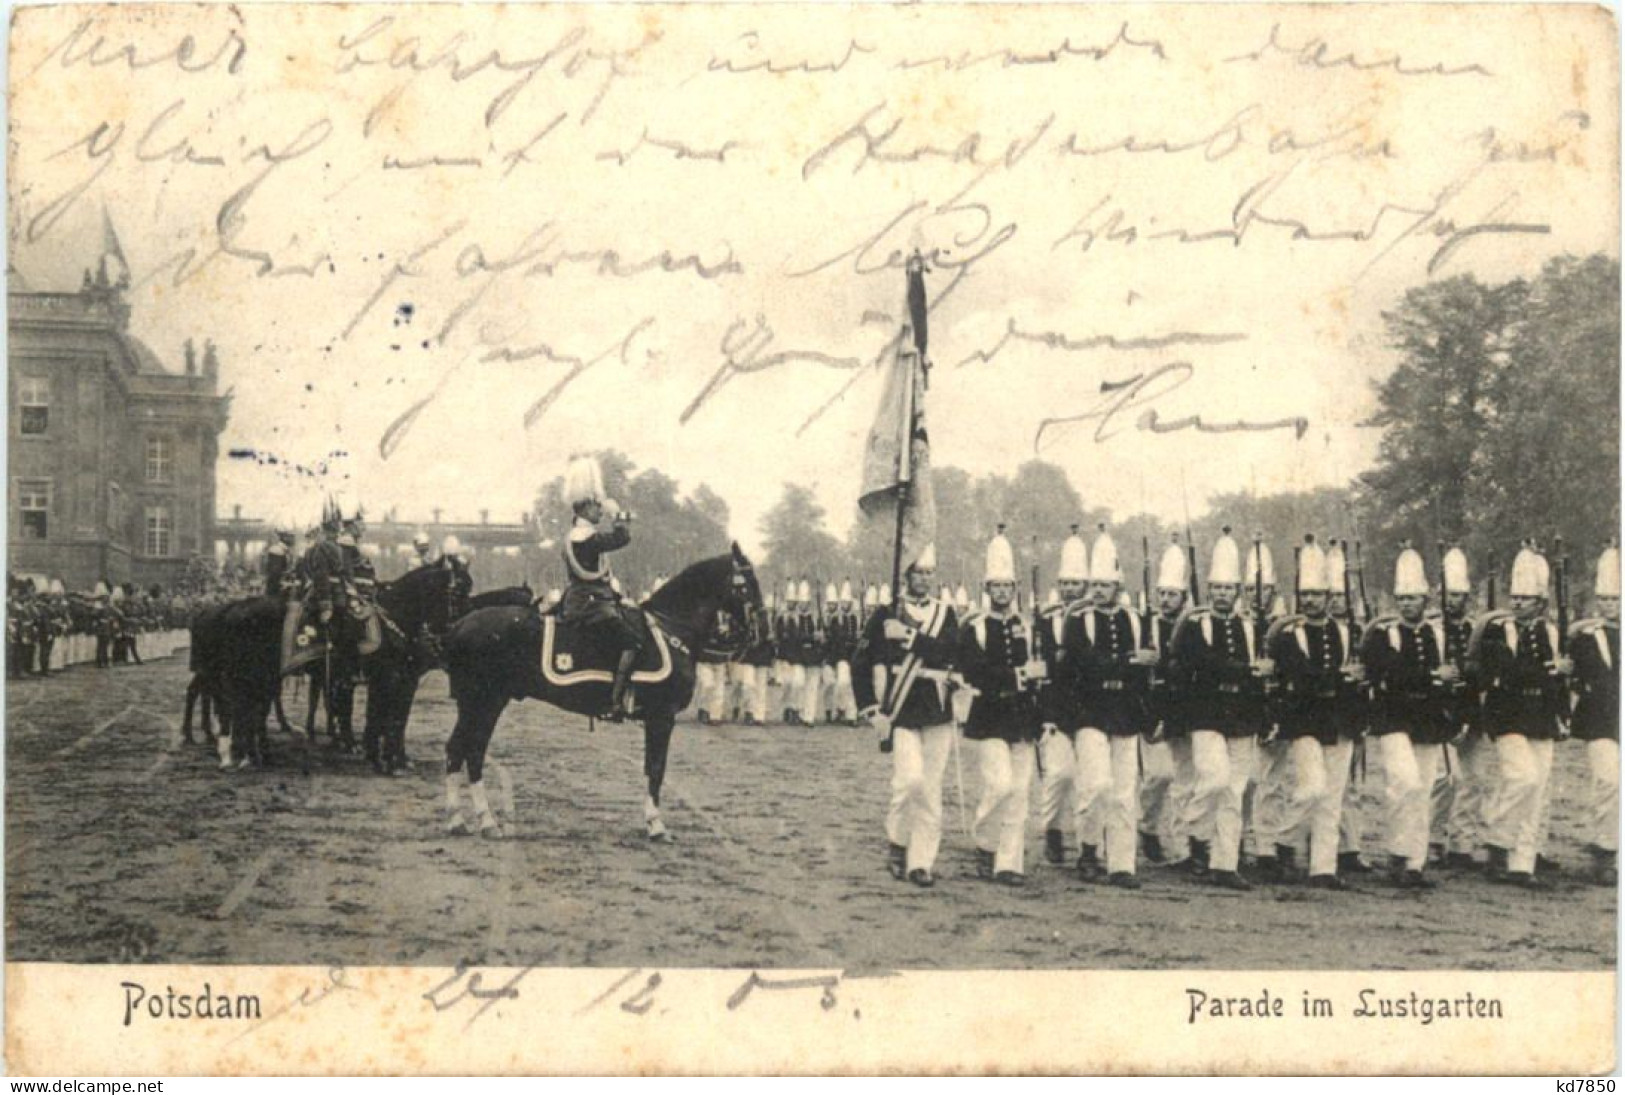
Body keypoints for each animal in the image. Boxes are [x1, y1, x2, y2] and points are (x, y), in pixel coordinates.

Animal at [445, 542, 760, 838]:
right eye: (747, 584)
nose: (756, 634)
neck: (670, 629)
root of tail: (459, 624)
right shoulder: (662, 717)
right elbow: (656, 768)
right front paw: (656, 825)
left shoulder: (658, 718)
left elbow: (651, 767)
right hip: (484, 701)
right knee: (471, 751)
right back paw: (483, 821)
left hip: (479, 703)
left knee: (459, 750)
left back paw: (462, 821)